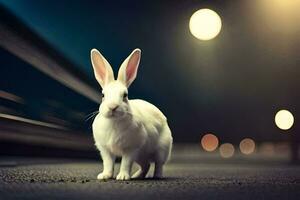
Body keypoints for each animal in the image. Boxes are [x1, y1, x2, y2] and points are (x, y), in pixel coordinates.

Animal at [90, 47, 172, 180]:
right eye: (103, 95)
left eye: (125, 95)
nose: (112, 107)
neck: (114, 122)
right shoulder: (106, 150)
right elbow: (108, 163)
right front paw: (105, 176)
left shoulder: (131, 149)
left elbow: (126, 163)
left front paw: (123, 177)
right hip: (141, 156)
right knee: (146, 165)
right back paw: (136, 176)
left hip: (161, 149)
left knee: (158, 164)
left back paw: (157, 176)